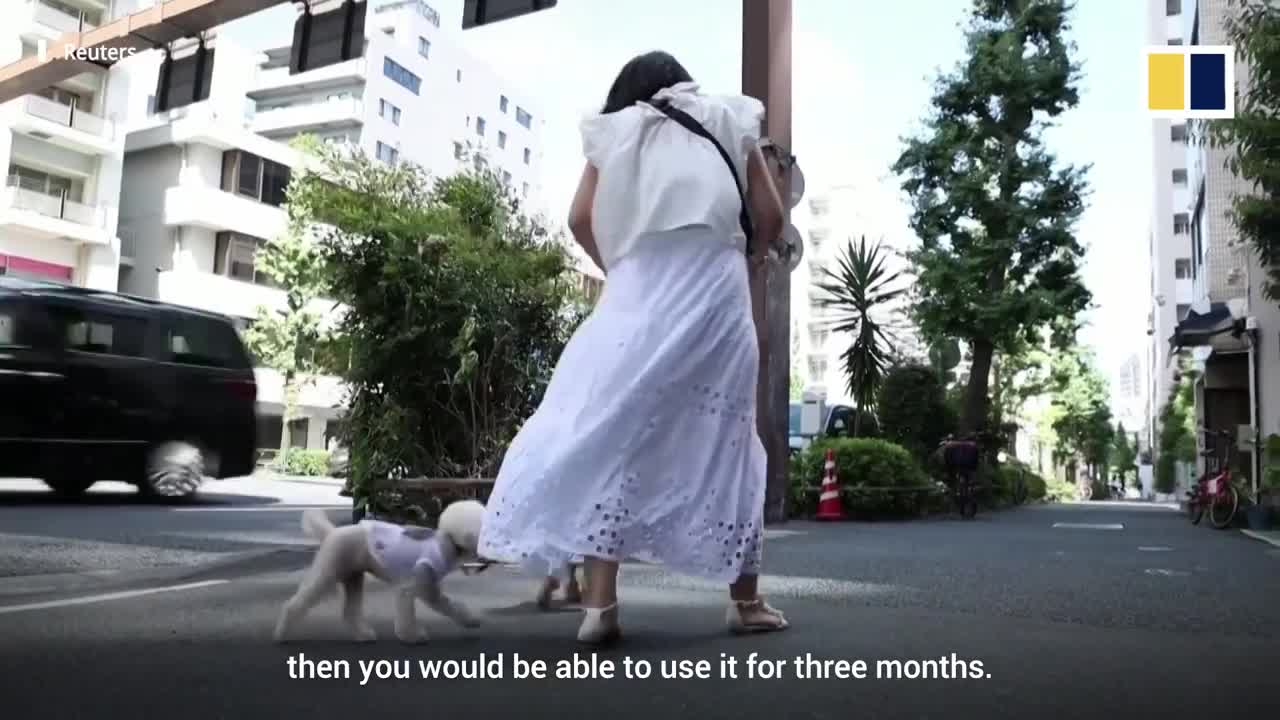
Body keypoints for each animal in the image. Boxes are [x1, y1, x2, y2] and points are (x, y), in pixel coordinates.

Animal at [272, 497, 486, 640]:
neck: (450, 543)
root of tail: (332, 532)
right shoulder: (417, 580)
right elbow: (435, 603)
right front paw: (413, 635)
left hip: (353, 575)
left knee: (350, 610)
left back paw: (364, 634)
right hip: (330, 567)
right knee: (301, 600)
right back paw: (281, 633)